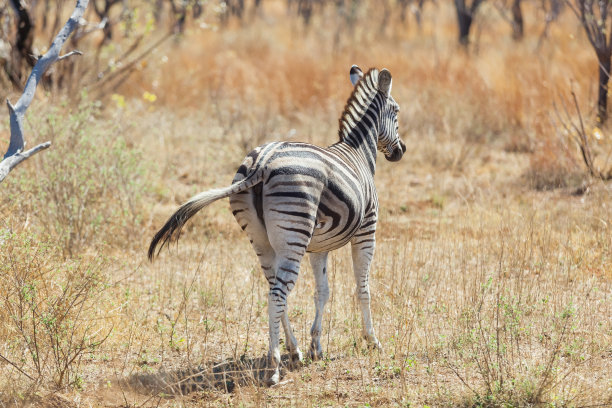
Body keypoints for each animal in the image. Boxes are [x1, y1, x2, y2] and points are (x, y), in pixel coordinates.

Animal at [148, 64, 406, 386]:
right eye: (396, 111)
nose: (401, 151)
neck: (358, 151)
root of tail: (262, 164)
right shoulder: (367, 230)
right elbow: (363, 288)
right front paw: (373, 341)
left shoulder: (319, 247)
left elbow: (322, 292)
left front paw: (316, 346)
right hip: (294, 234)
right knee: (278, 293)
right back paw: (274, 366)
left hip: (264, 239)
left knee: (274, 288)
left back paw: (293, 351)